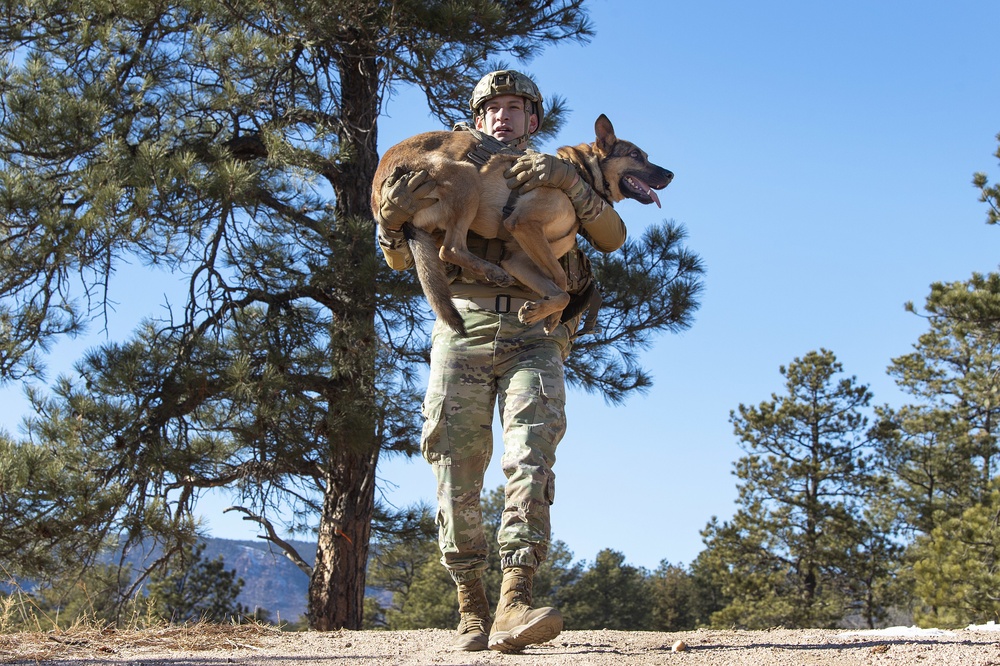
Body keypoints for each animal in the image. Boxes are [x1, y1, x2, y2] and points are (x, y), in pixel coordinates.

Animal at [370, 114, 672, 334]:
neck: (579, 174)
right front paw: (546, 313)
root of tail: (378, 193)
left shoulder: (517, 259)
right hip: (467, 178)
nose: (670, 174)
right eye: (635, 155)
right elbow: (562, 283)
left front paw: (548, 316)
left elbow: (560, 289)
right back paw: (492, 272)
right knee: (451, 249)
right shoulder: (525, 224)